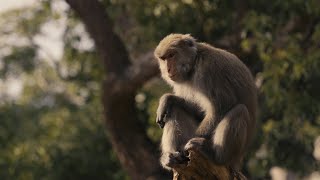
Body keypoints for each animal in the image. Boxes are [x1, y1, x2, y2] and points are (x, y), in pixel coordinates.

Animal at [154, 33, 256, 179]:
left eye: (172, 55)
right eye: (163, 59)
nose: (168, 69)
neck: (194, 64)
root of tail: (238, 162)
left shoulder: (209, 69)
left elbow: (222, 107)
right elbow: (199, 111)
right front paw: (167, 99)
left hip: (233, 158)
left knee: (239, 110)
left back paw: (215, 156)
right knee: (175, 109)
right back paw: (170, 158)